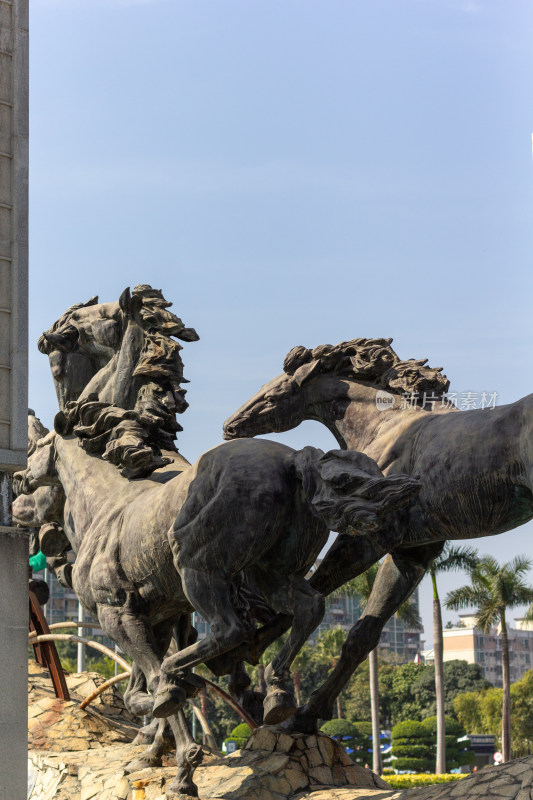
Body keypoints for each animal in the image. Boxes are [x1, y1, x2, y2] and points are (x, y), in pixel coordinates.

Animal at [222, 334, 532, 728]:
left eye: (275, 394)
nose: (231, 426)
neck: (388, 426)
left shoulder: (368, 538)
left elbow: (308, 597)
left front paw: (260, 679)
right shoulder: (412, 554)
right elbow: (362, 634)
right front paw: (303, 710)